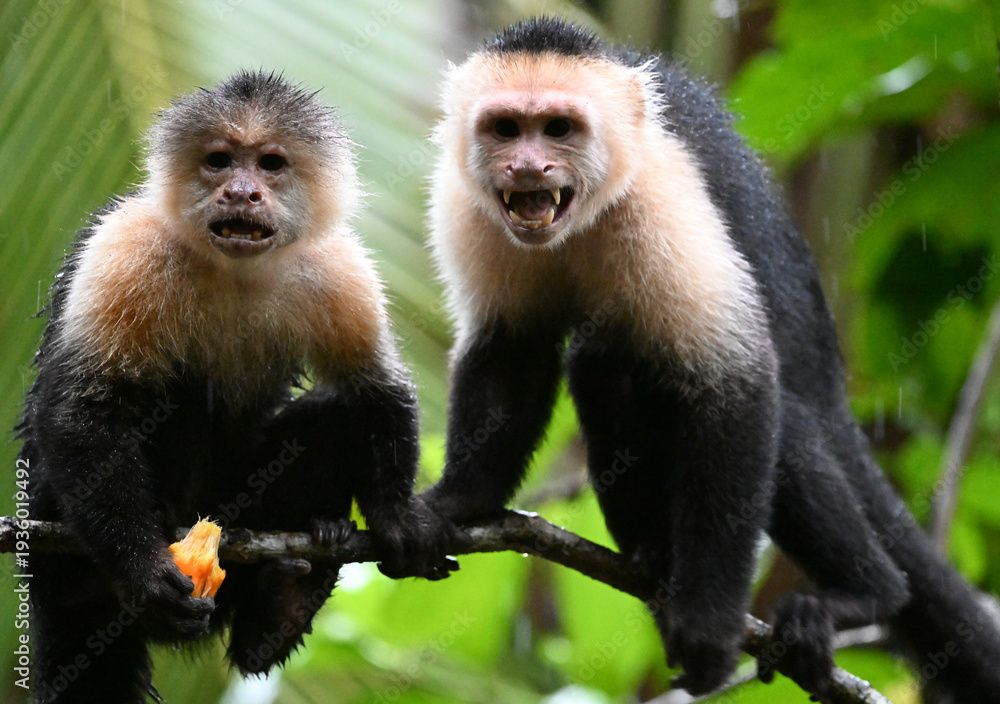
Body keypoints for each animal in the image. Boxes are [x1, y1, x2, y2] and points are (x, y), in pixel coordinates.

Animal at [16, 70, 456, 704]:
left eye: (270, 164)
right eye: (220, 161)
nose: (242, 192)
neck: (233, 270)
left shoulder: (339, 267)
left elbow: (377, 388)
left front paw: (395, 516)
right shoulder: (125, 245)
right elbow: (85, 405)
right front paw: (143, 569)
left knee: (336, 411)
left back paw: (282, 603)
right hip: (51, 519)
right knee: (169, 390)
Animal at [422, 17, 1000, 700]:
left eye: (558, 129)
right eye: (506, 128)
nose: (528, 166)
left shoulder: (662, 191)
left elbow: (734, 381)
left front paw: (706, 626)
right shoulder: (466, 202)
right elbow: (510, 352)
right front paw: (455, 503)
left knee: (784, 422)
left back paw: (864, 594)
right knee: (603, 368)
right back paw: (653, 558)